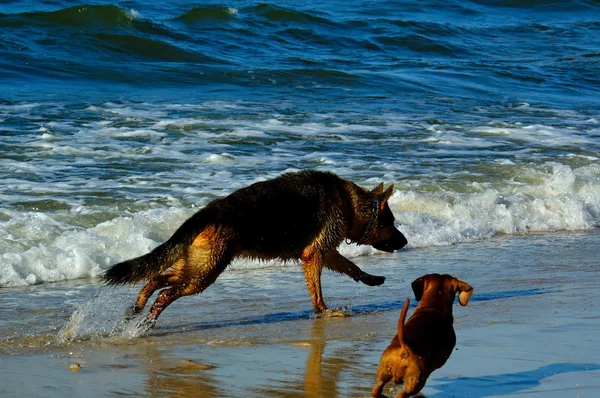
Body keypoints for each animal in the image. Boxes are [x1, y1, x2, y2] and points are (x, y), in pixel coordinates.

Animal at [104, 169, 408, 328]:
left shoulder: (325, 252)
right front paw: (323, 312)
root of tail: (207, 212)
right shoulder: (313, 255)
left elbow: (351, 266)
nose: (405, 242)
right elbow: (318, 292)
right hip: (206, 272)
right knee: (166, 292)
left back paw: (138, 308)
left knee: (155, 278)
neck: (353, 204)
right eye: (391, 223)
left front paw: (369, 278)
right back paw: (149, 318)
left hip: (198, 263)